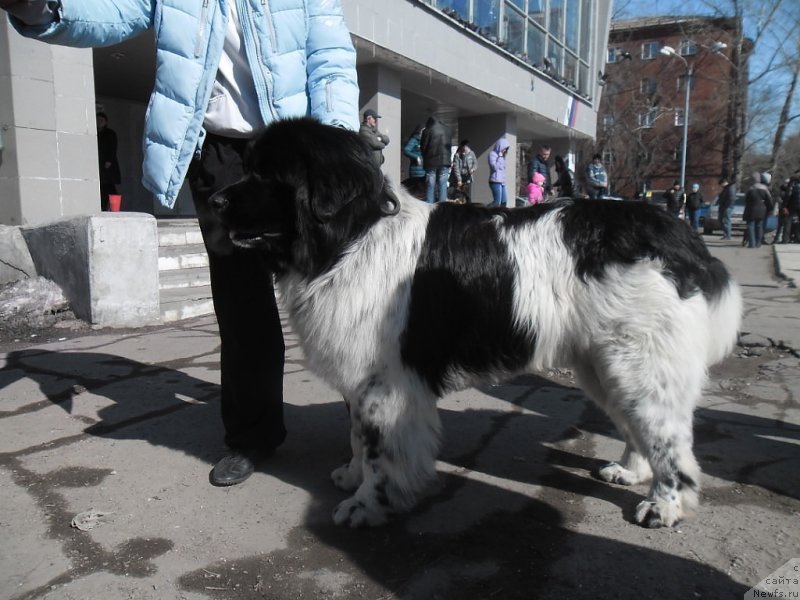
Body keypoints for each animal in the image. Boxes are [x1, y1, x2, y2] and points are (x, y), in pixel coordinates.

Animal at [211, 117, 744, 528]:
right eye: (248, 167)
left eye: (266, 175)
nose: (214, 201)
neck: (350, 238)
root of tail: (675, 230)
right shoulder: (364, 380)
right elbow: (358, 435)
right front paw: (352, 474)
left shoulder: (387, 383)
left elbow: (382, 452)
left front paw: (367, 505)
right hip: (604, 363)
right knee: (637, 425)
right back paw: (630, 471)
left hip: (640, 362)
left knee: (668, 438)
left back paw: (664, 505)